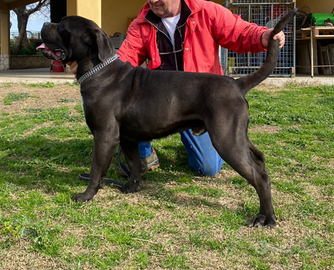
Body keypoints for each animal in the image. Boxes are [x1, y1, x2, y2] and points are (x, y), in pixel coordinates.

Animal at [37, 9, 296, 227]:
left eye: (62, 26)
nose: (46, 23)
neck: (98, 70)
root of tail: (237, 83)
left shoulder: (104, 137)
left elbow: (95, 171)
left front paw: (86, 196)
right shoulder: (127, 138)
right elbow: (134, 165)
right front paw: (132, 187)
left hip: (226, 140)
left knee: (259, 178)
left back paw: (267, 218)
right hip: (237, 136)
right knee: (259, 160)